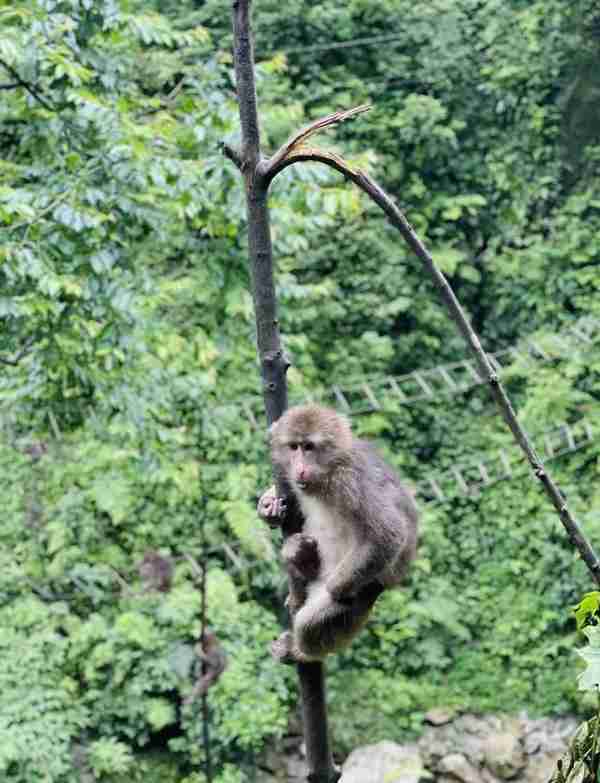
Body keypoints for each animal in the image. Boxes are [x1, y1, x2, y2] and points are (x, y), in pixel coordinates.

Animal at [256, 408, 418, 664]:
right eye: (294, 447)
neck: (326, 474)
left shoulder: (352, 479)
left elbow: (389, 533)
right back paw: (300, 559)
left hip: (366, 588)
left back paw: (301, 652)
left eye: (309, 447)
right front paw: (268, 506)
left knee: (311, 621)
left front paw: (335, 589)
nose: (300, 467)